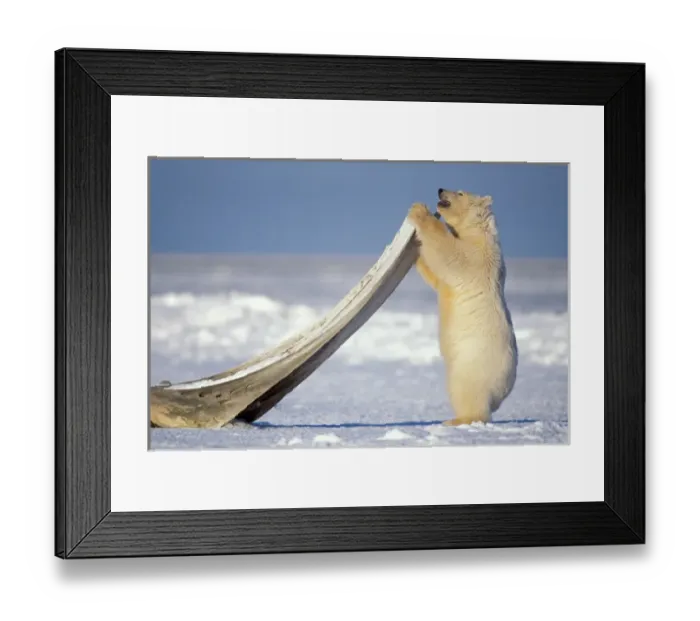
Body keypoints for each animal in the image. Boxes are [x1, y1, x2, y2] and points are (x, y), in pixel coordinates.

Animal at [407, 188, 518, 426]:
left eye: (459, 192)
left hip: (473, 365)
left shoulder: (479, 255)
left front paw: (419, 210)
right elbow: (438, 278)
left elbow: (452, 255)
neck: (479, 231)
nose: (440, 189)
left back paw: (456, 420)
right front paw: (415, 253)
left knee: (465, 392)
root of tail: (502, 394)